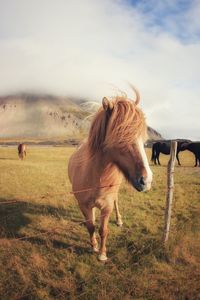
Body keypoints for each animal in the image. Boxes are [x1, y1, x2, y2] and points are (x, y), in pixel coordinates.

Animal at [68, 86, 152, 260]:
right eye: (120, 136)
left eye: (143, 139)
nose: (146, 181)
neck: (94, 177)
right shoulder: (83, 205)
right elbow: (91, 226)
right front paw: (93, 246)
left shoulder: (107, 206)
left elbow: (103, 230)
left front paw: (102, 254)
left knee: (117, 202)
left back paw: (119, 220)